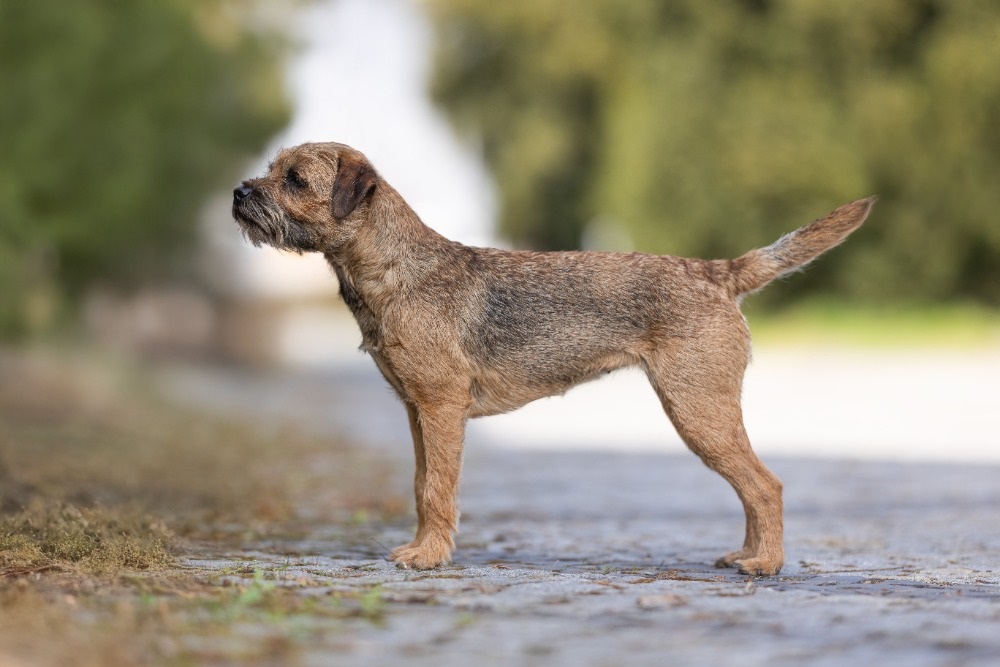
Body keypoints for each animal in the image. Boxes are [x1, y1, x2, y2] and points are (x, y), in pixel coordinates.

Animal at [232, 141, 875, 576]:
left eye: (294, 179)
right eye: (271, 169)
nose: (239, 192)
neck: (395, 269)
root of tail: (717, 273)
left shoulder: (441, 407)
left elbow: (438, 488)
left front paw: (429, 557)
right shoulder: (418, 412)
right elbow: (420, 484)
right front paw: (423, 547)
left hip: (699, 411)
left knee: (766, 485)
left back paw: (765, 563)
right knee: (752, 486)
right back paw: (747, 553)